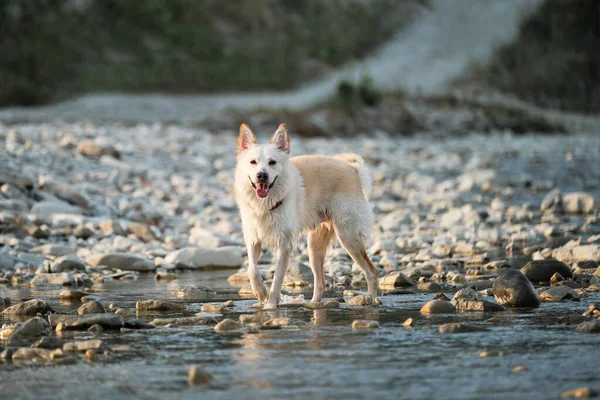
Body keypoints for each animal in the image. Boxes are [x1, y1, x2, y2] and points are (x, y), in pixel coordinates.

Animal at [233, 123, 376, 310]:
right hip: (315, 247)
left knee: (371, 271)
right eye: (253, 162)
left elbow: (277, 280)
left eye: (272, 162)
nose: (262, 175)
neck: (265, 204)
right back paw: (313, 304)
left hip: (348, 237)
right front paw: (260, 292)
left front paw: (270, 306)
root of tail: (354, 170)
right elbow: (252, 268)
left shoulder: (284, 245)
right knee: (321, 282)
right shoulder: (253, 239)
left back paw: (371, 299)